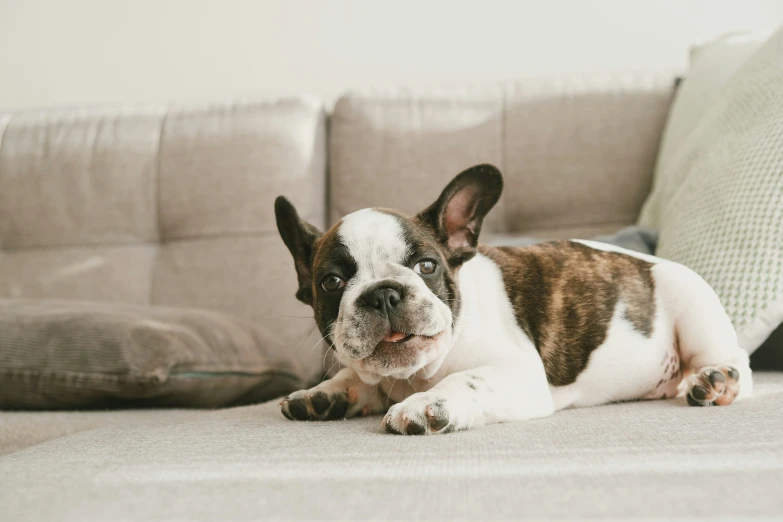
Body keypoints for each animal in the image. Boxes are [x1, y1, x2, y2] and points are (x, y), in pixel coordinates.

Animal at [274, 165, 752, 432]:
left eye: (427, 266)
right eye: (332, 282)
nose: (384, 294)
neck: (414, 374)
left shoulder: (517, 372)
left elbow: (466, 379)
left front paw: (428, 405)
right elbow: (356, 378)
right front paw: (325, 392)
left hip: (695, 306)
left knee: (736, 365)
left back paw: (716, 380)